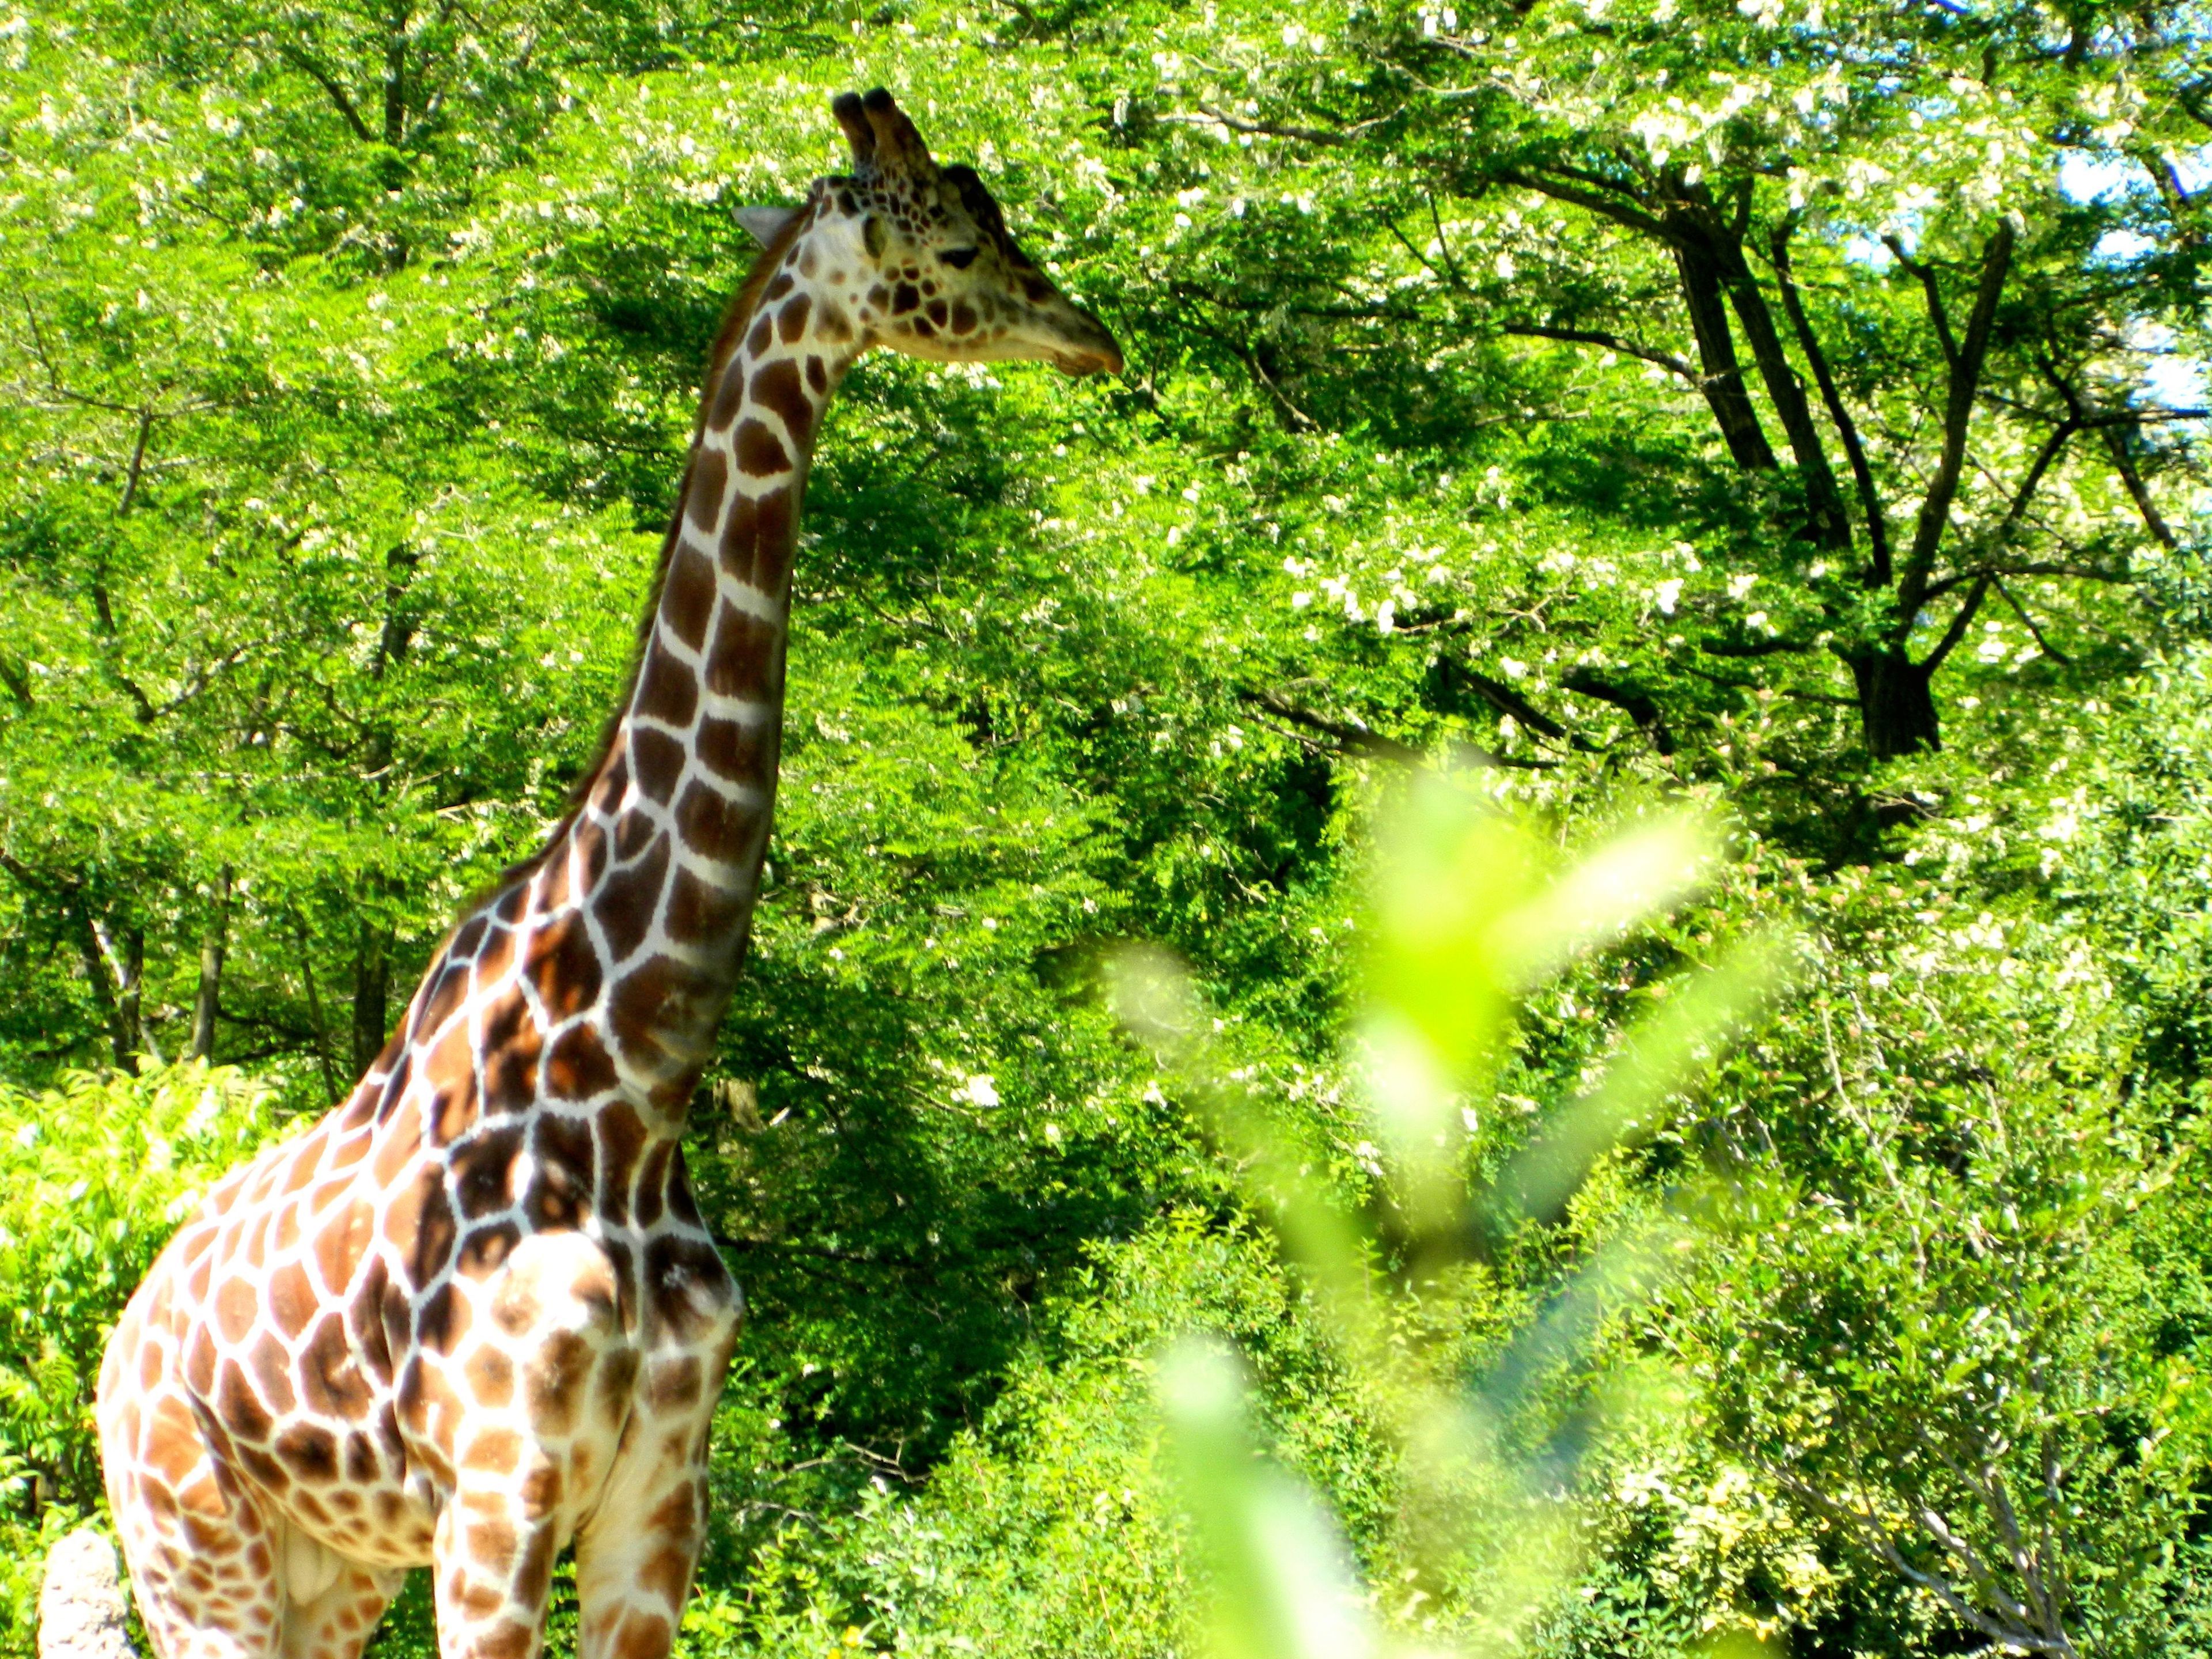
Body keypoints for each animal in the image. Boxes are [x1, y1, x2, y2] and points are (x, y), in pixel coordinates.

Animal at [90, 88, 1120, 1659]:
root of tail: (120, 1345)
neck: (634, 1083)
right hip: (195, 1547)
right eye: (955, 240)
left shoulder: (658, 1497)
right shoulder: (497, 1498)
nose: (1090, 336)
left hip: (334, 1567)